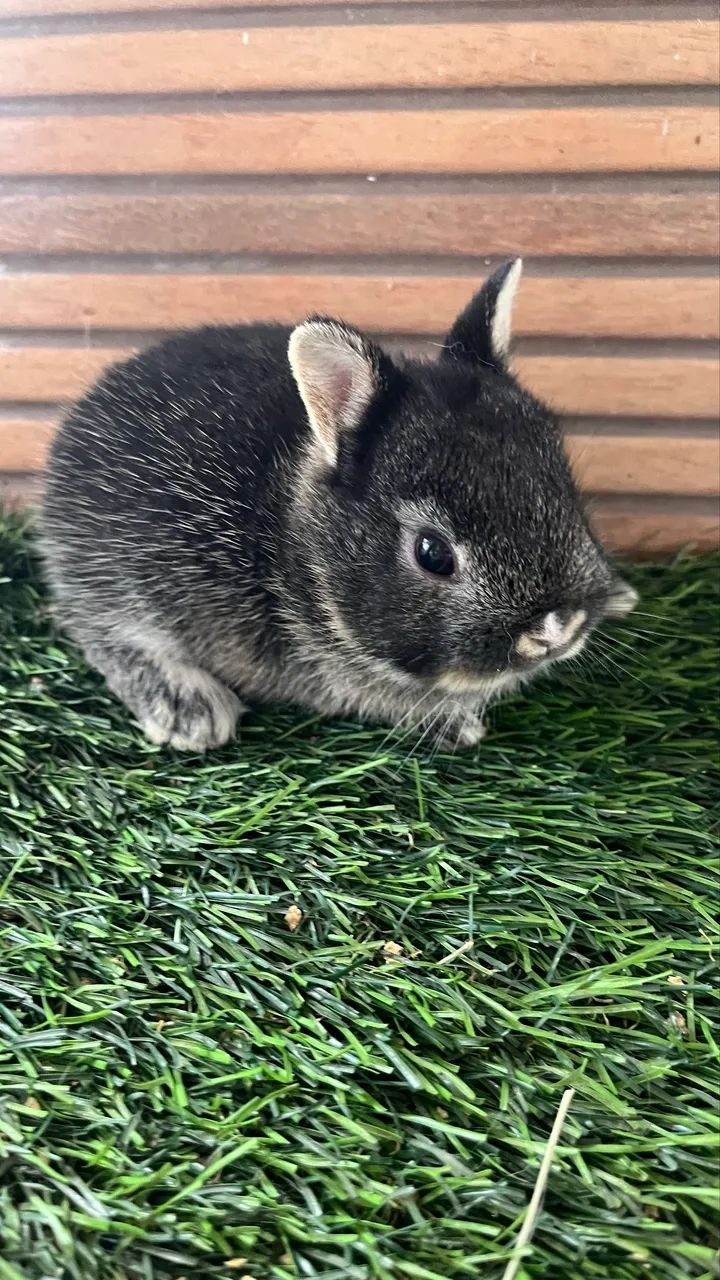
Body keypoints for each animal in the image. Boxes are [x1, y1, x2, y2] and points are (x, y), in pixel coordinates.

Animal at [40, 259, 638, 752]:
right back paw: (190, 710)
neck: (296, 542)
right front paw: (455, 725)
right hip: (109, 575)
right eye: (433, 554)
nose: (557, 629)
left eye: (564, 489)